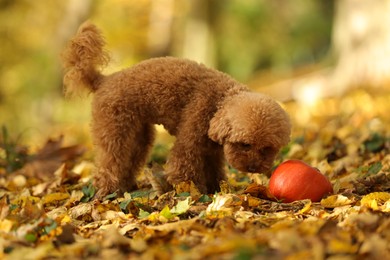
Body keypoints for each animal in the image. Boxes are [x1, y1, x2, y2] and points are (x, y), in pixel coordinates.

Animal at [62, 22, 290, 198]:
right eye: (245, 144)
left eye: (267, 148)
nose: (253, 167)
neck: (219, 101)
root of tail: (104, 80)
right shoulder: (191, 139)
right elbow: (183, 168)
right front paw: (192, 192)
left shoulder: (211, 149)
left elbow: (214, 170)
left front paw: (217, 189)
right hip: (113, 129)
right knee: (109, 161)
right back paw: (107, 191)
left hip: (138, 134)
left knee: (129, 160)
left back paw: (125, 187)